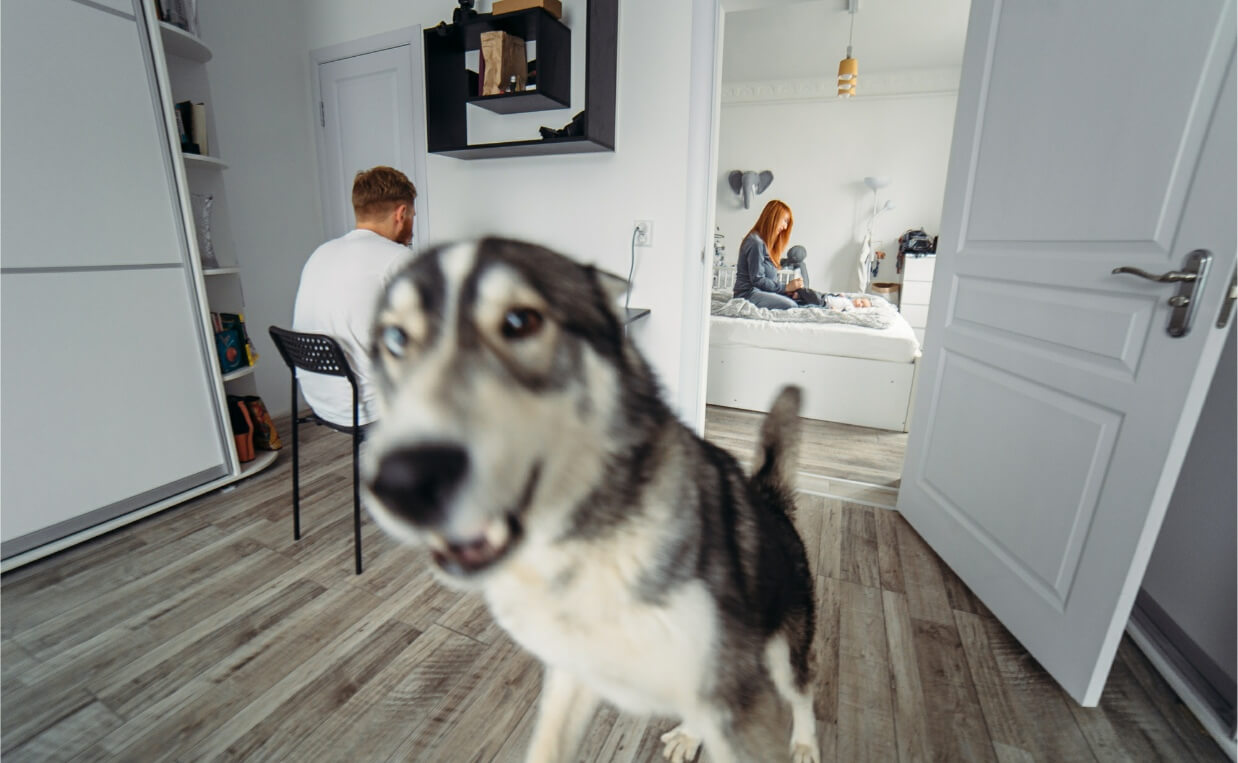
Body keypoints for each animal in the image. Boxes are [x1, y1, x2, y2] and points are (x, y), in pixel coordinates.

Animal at [361, 237, 822, 763]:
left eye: (520, 321)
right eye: (395, 339)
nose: (402, 482)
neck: (579, 552)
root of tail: (768, 498)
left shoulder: (739, 696)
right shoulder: (573, 672)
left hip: (784, 650)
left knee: (804, 690)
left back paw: (804, 742)